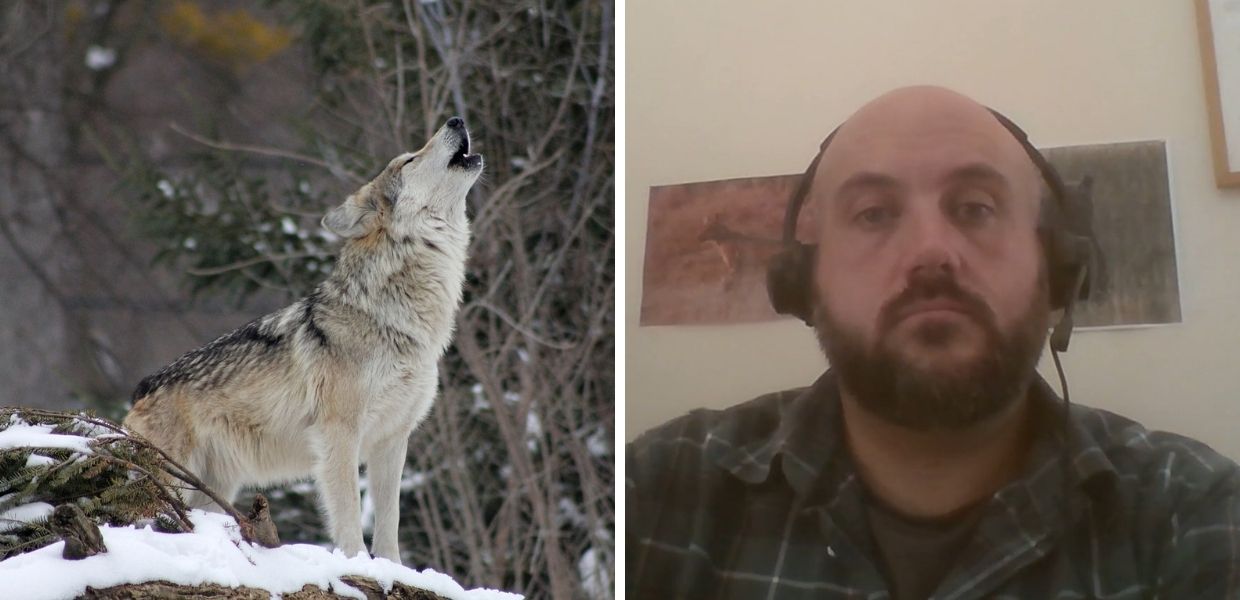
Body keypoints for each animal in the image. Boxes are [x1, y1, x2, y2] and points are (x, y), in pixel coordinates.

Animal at [123, 117, 483, 563]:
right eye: (409, 159)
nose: (456, 120)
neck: (395, 318)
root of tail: (142, 388)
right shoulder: (339, 433)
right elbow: (349, 513)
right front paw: (356, 564)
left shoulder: (393, 439)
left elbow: (389, 522)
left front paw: (392, 568)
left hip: (212, 490)